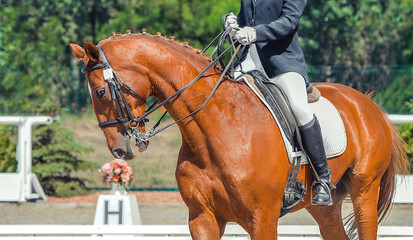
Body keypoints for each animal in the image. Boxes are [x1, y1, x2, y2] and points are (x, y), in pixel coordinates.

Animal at [69, 34, 408, 240]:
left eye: (100, 91)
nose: (119, 150)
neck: (214, 132)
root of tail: (368, 102)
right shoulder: (202, 218)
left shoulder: (262, 220)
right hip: (323, 206)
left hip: (364, 190)